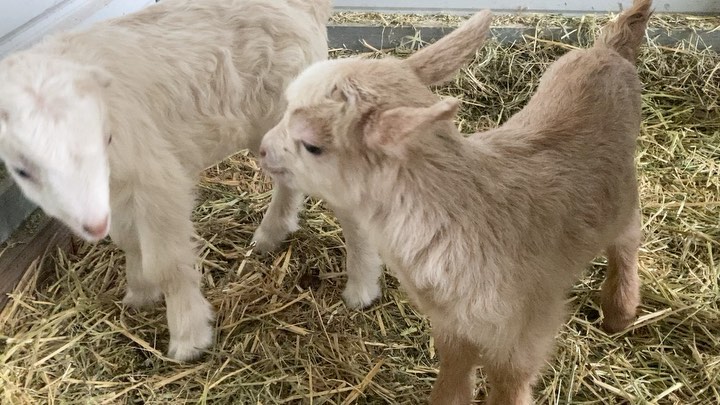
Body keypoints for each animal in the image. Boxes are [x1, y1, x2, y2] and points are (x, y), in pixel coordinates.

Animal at [0, 0, 331, 361]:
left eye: (104, 138)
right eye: (22, 170)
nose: (93, 226)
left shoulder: (157, 180)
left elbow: (166, 263)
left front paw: (189, 337)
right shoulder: (115, 192)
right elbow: (128, 242)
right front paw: (139, 293)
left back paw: (269, 234)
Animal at [257, 0, 652, 403]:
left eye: (313, 146)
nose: (262, 149)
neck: (462, 215)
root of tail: (608, 51)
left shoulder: (524, 335)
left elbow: (509, 386)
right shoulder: (452, 323)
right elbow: (453, 373)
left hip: (623, 196)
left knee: (628, 238)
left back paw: (619, 311)